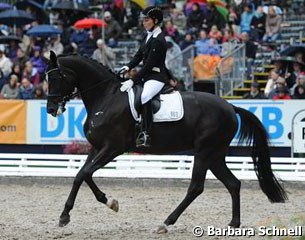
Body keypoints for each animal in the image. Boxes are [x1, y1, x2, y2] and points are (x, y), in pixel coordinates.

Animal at [44, 50, 284, 232]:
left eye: (56, 78)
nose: (51, 109)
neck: (106, 97)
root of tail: (231, 106)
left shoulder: (113, 148)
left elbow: (84, 174)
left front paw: (94, 207)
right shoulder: (97, 148)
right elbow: (81, 175)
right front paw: (94, 206)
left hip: (204, 151)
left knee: (196, 187)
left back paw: (166, 222)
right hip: (215, 155)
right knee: (233, 183)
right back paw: (234, 223)